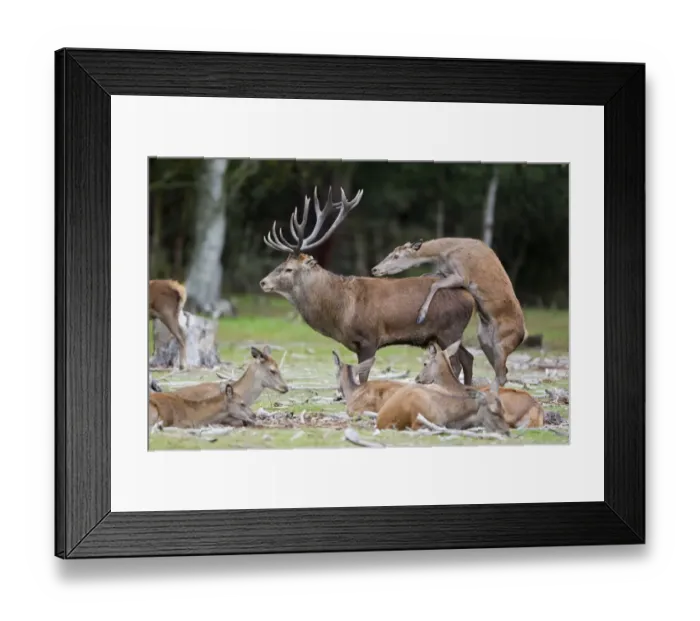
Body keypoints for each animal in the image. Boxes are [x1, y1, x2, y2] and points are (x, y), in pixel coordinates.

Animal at [259, 186, 477, 385]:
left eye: (288, 269)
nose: (263, 282)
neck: (341, 312)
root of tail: (470, 298)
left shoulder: (369, 339)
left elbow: (363, 377)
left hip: (450, 330)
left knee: (456, 363)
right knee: (469, 358)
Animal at [371, 237, 527, 393]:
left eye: (396, 256)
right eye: (391, 253)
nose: (375, 269)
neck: (444, 254)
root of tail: (522, 335)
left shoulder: (462, 275)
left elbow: (435, 285)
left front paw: (421, 314)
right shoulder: (444, 272)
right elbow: (427, 276)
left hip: (502, 343)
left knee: (501, 375)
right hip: (485, 340)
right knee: (502, 371)